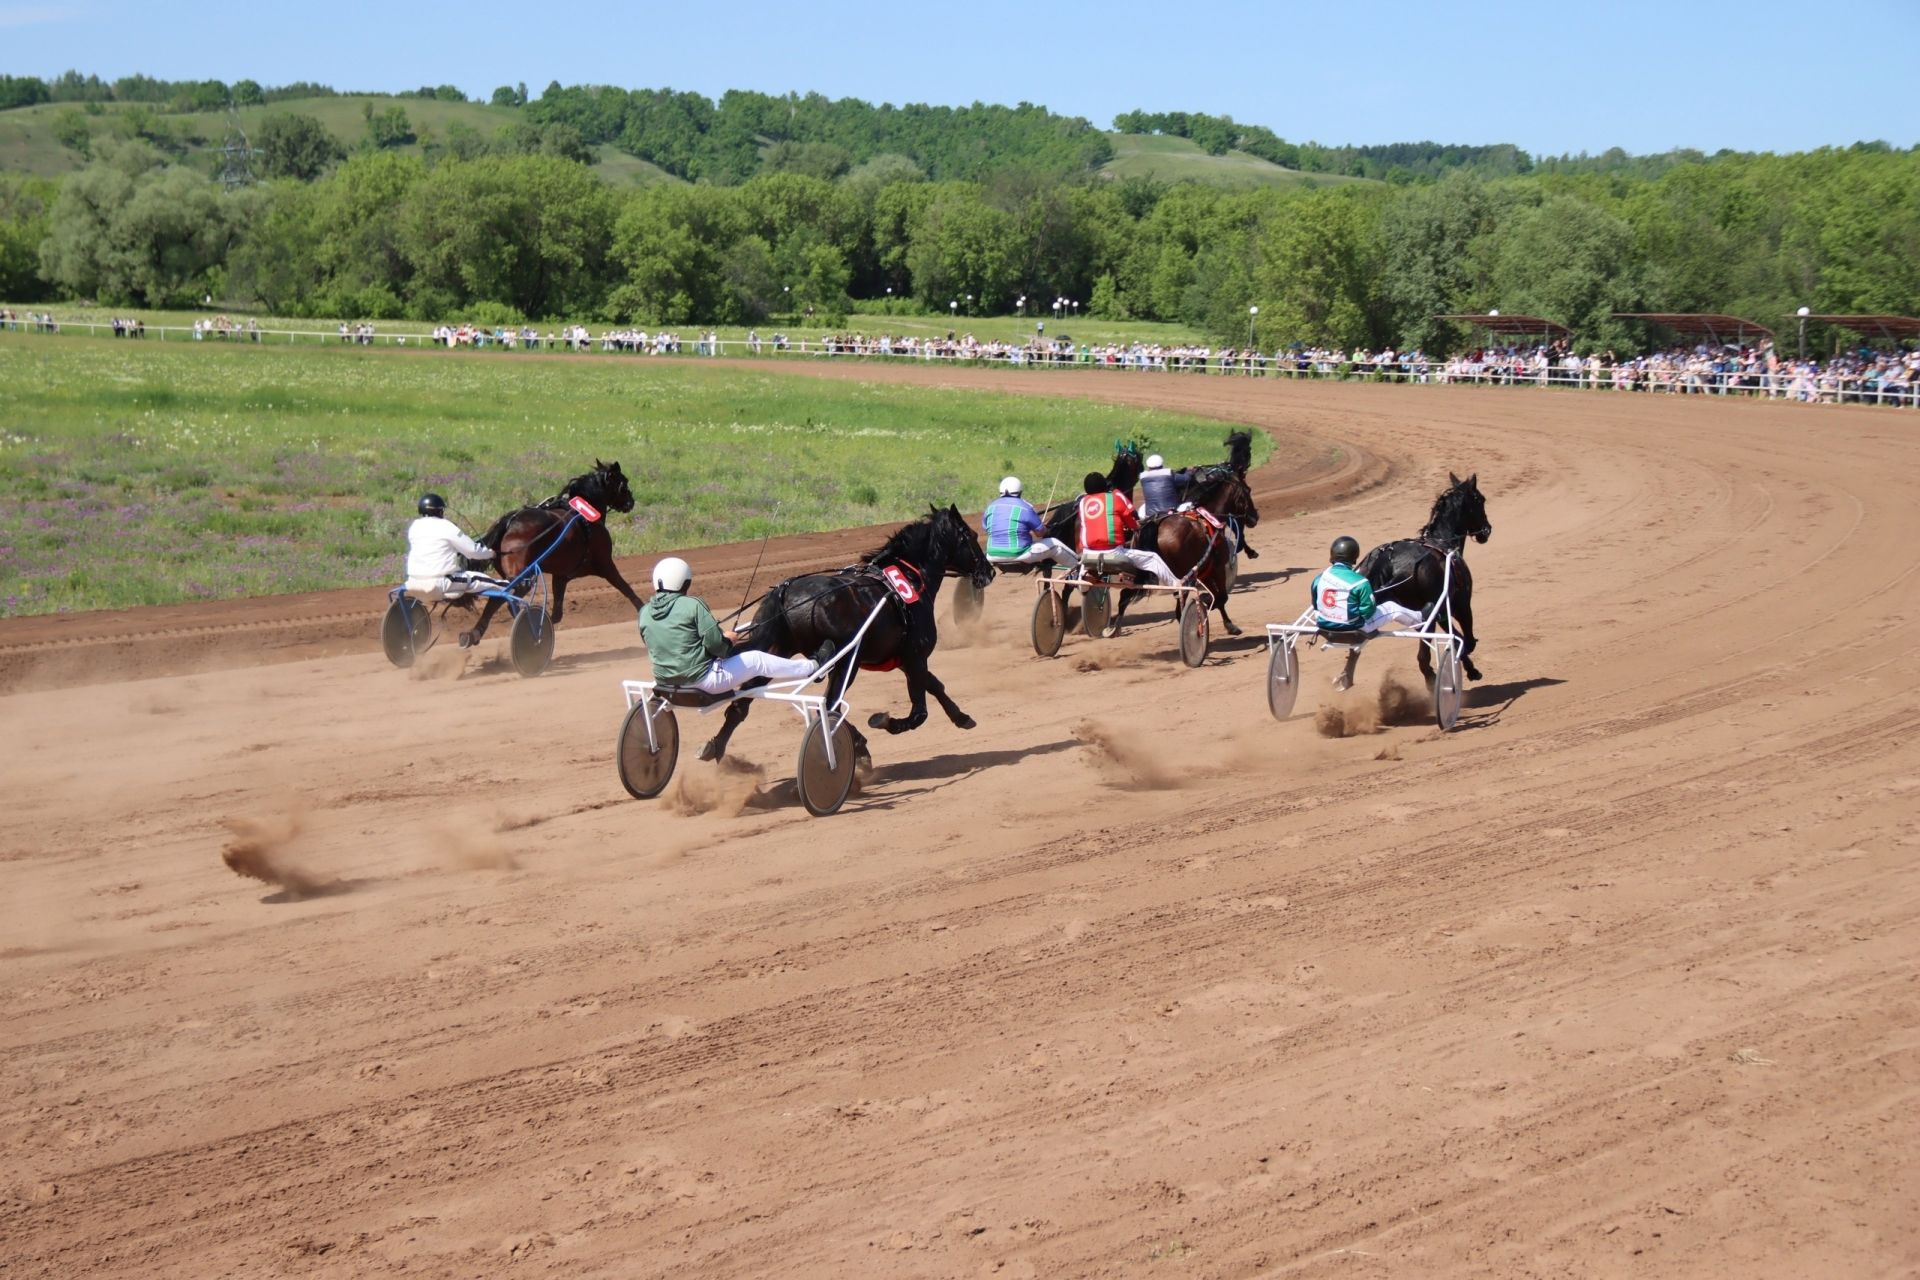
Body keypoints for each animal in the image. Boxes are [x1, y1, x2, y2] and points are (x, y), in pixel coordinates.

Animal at [460, 460, 648, 652]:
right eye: (624, 483)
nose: (631, 502)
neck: (584, 514)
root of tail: (510, 521)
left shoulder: (561, 576)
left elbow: (557, 613)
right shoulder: (606, 565)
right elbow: (628, 590)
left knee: (499, 600)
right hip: (524, 577)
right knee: (501, 599)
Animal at [695, 502, 998, 767]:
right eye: (971, 536)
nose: (989, 571)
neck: (909, 580)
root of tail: (785, 593)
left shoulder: (904, 658)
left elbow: (935, 685)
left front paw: (962, 717)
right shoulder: (915, 656)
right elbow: (919, 712)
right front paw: (886, 722)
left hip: (775, 650)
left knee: (743, 705)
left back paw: (715, 747)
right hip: (844, 660)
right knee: (830, 706)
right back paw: (859, 747)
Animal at [1359, 475, 1489, 687]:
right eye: (1480, 500)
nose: (1487, 530)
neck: (1443, 541)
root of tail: (1387, 559)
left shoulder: (1442, 610)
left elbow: (1455, 637)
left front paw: (1470, 668)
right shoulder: (1460, 603)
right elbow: (1465, 637)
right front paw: (1470, 666)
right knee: (1423, 656)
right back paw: (1432, 680)